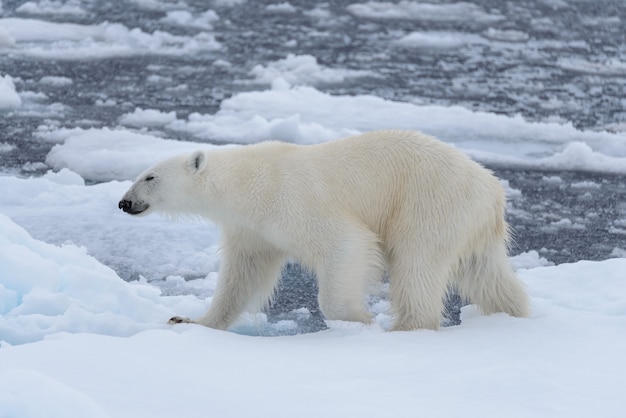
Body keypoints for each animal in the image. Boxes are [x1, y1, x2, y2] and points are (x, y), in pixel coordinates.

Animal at [118, 129, 528, 332]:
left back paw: (404, 328)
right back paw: (512, 314)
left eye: (149, 176)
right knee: (486, 274)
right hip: (469, 222)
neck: (249, 182)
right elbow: (243, 274)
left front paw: (357, 321)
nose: (124, 202)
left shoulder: (290, 200)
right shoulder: (252, 228)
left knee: (417, 263)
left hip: (430, 202)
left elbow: (346, 243)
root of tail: (492, 190)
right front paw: (190, 320)